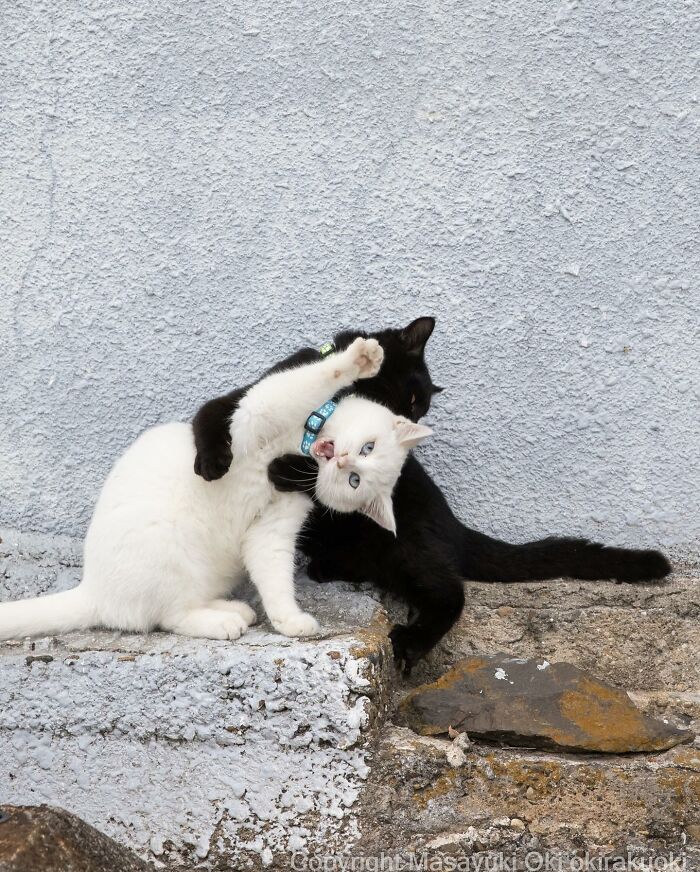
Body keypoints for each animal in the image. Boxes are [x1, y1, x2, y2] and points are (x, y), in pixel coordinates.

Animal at [0, 338, 432, 644]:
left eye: (354, 481)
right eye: (367, 448)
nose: (342, 461)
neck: (297, 447)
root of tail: (93, 590)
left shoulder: (271, 528)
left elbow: (275, 577)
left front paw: (289, 621)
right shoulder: (255, 412)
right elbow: (307, 381)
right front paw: (360, 357)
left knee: (171, 613)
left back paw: (228, 612)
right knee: (164, 617)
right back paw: (223, 620)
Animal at [193, 316, 672, 672]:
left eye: (415, 409)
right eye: (407, 398)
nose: (402, 429)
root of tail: (457, 527)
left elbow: (316, 474)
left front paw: (286, 467)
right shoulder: (250, 395)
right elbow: (210, 412)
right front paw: (212, 461)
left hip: (404, 548)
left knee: (449, 591)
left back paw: (409, 642)